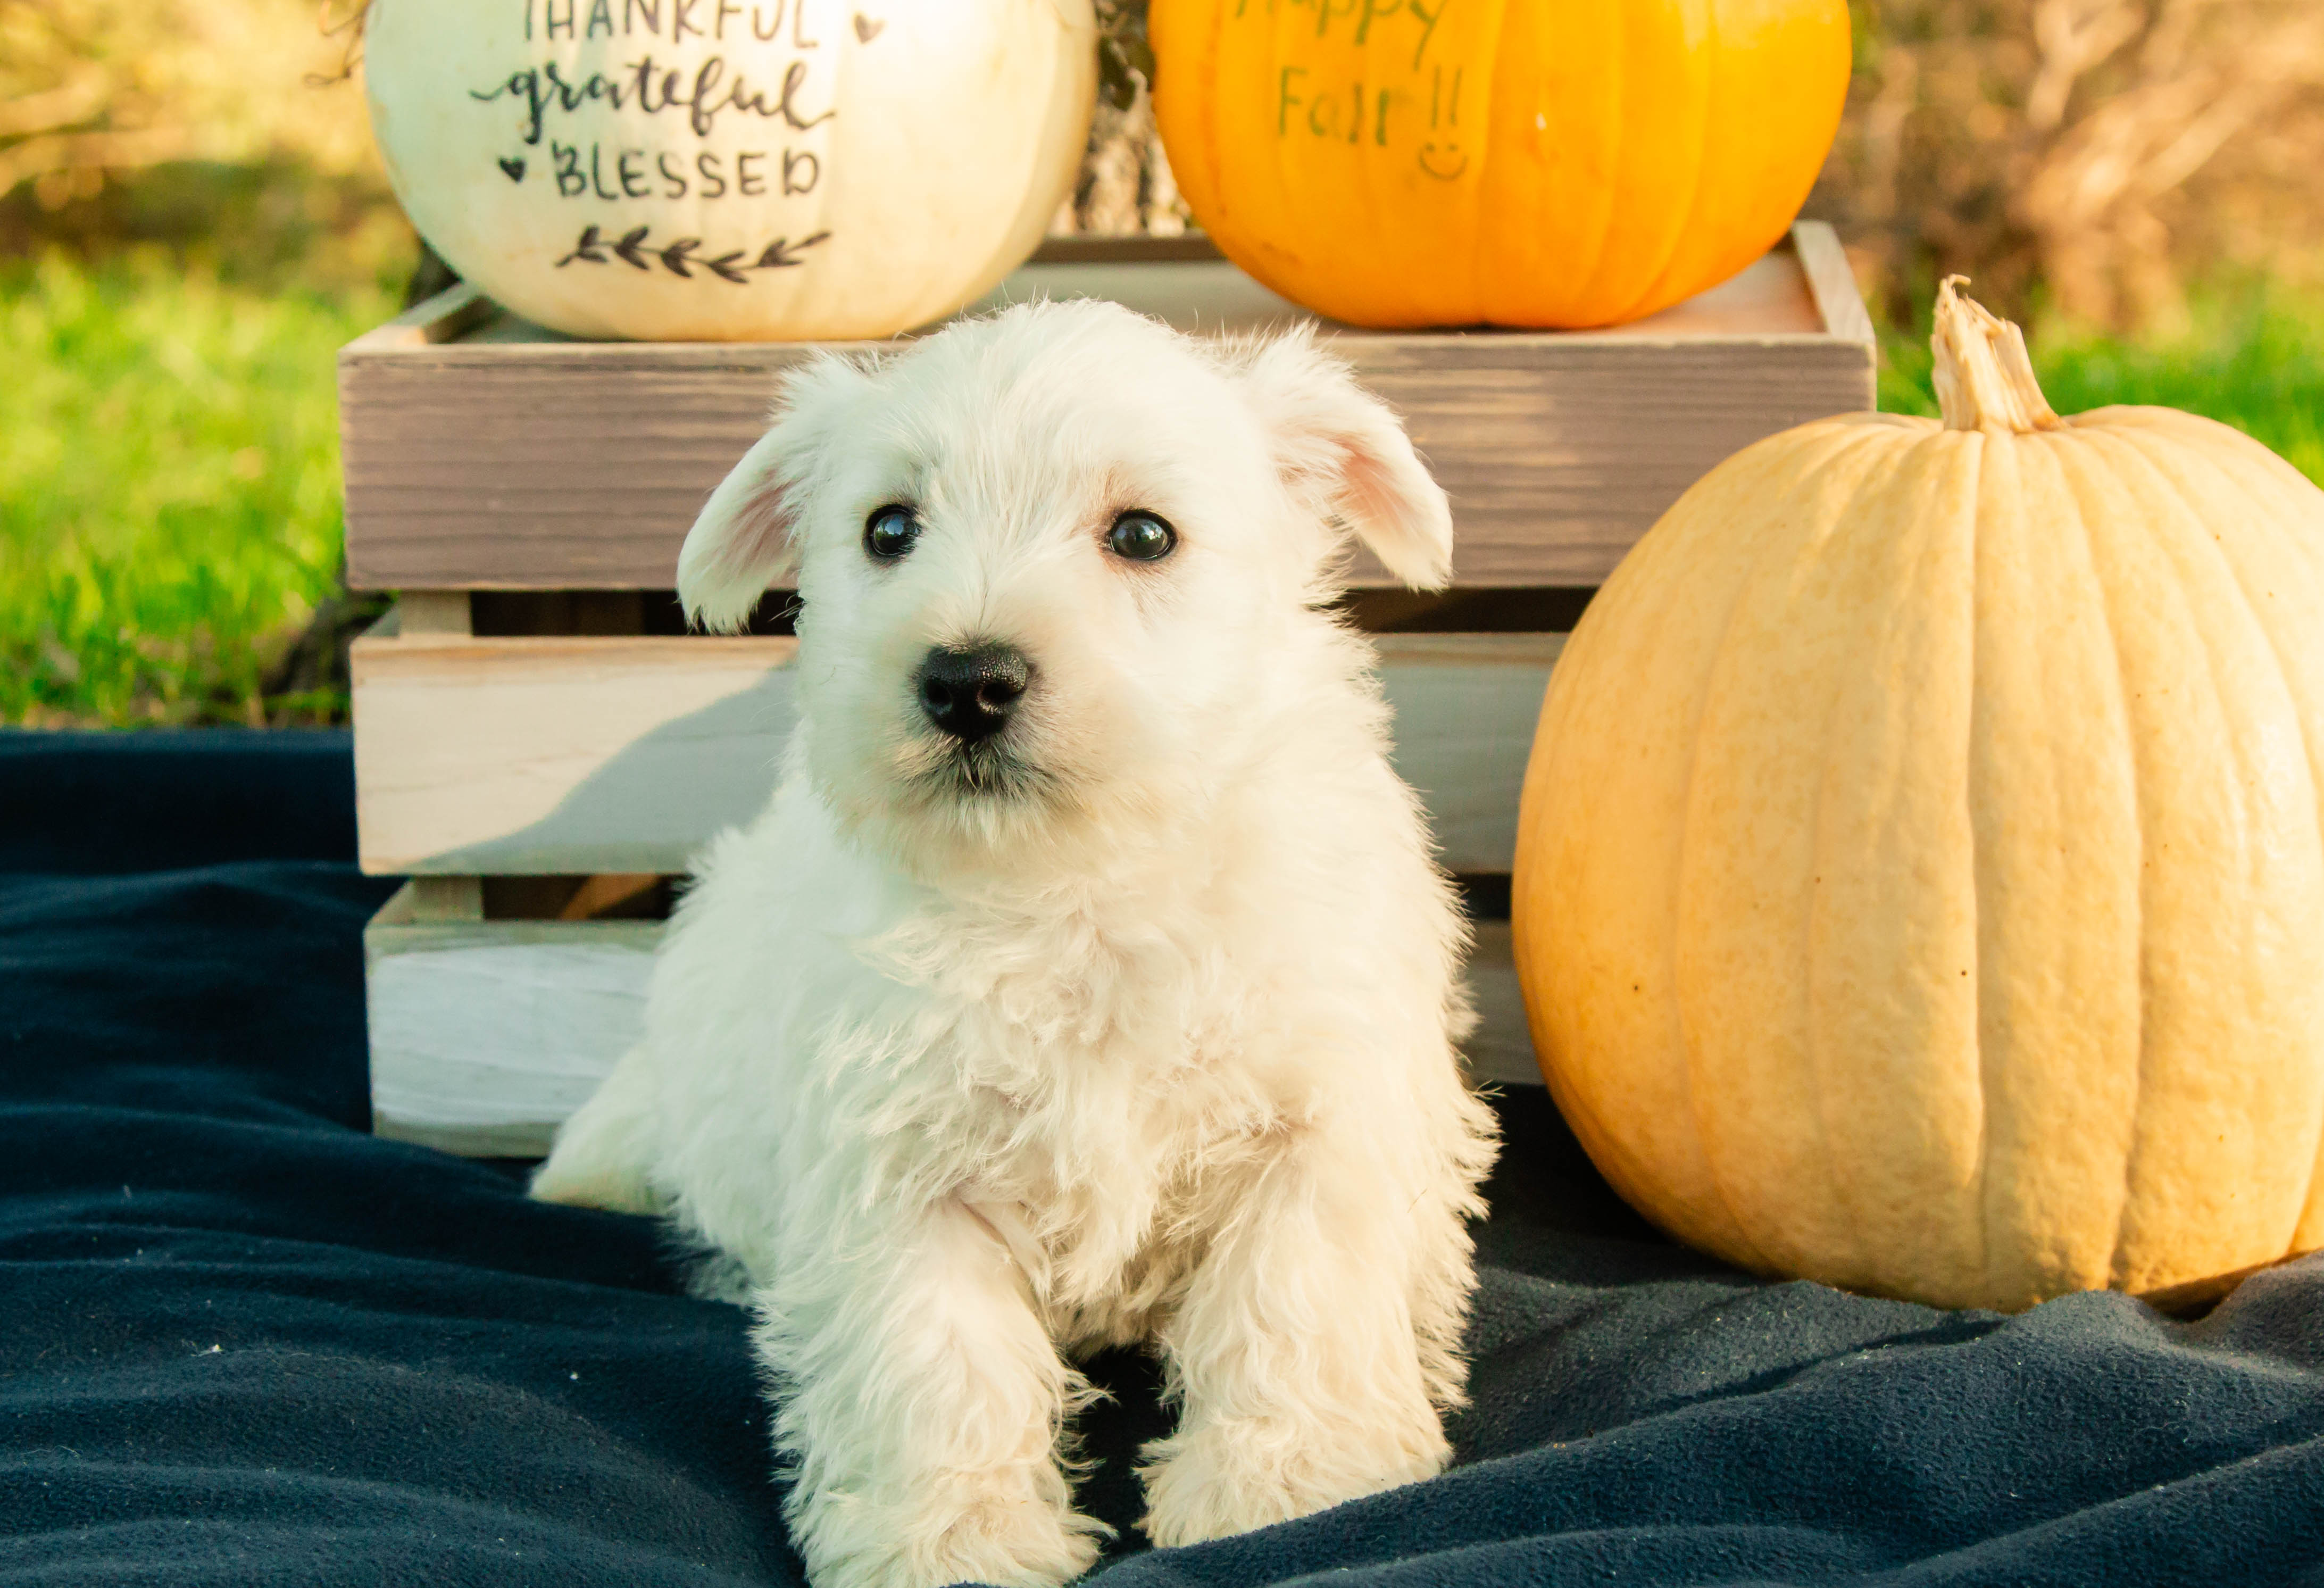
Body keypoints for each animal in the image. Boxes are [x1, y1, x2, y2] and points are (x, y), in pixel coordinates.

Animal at [527, 297, 1496, 1588]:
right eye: (889, 528)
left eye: (1142, 535)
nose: (967, 680)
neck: (1074, 888)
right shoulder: (900, 1161)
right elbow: (936, 1362)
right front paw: (954, 1541)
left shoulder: (1318, 1114)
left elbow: (1296, 1299)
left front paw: (1287, 1486)